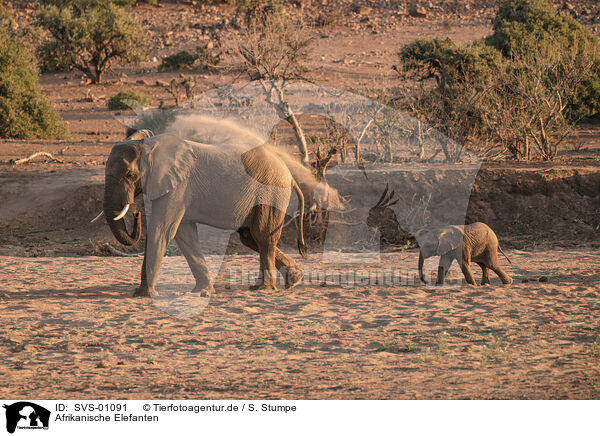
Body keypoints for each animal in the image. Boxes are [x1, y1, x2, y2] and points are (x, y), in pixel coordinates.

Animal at [103, 133, 308, 296]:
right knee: (250, 237)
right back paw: (294, 279)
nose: (136, 213)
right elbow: (184, 234)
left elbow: (161, 230)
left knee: (262, 237)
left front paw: (143, 294)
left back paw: (263, 288)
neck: (148, 145)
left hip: (271, 192)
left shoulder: (178, 186)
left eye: (130, 175)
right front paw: (202, 290)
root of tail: (289, 175)